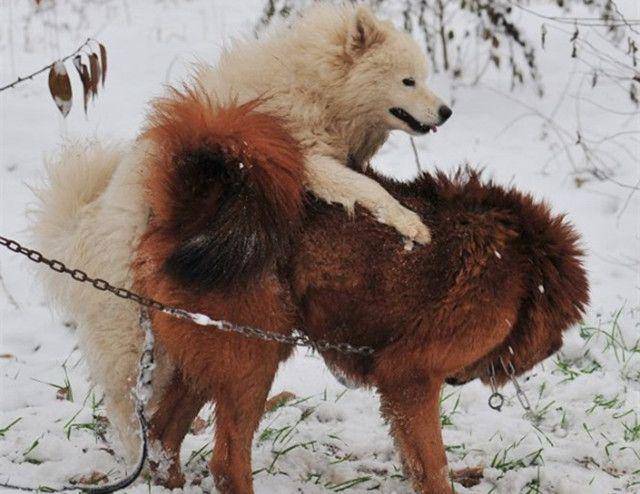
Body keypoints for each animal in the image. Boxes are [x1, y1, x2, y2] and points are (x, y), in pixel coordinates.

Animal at [135, 90, 592, 492]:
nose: (459, 379)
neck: (527, 273)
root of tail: (197, 207)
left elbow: (415, 462)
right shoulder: (410, 376)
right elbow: (434, 469)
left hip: (216, 352)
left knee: (162, 436)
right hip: (252, 356)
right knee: (226, 463)